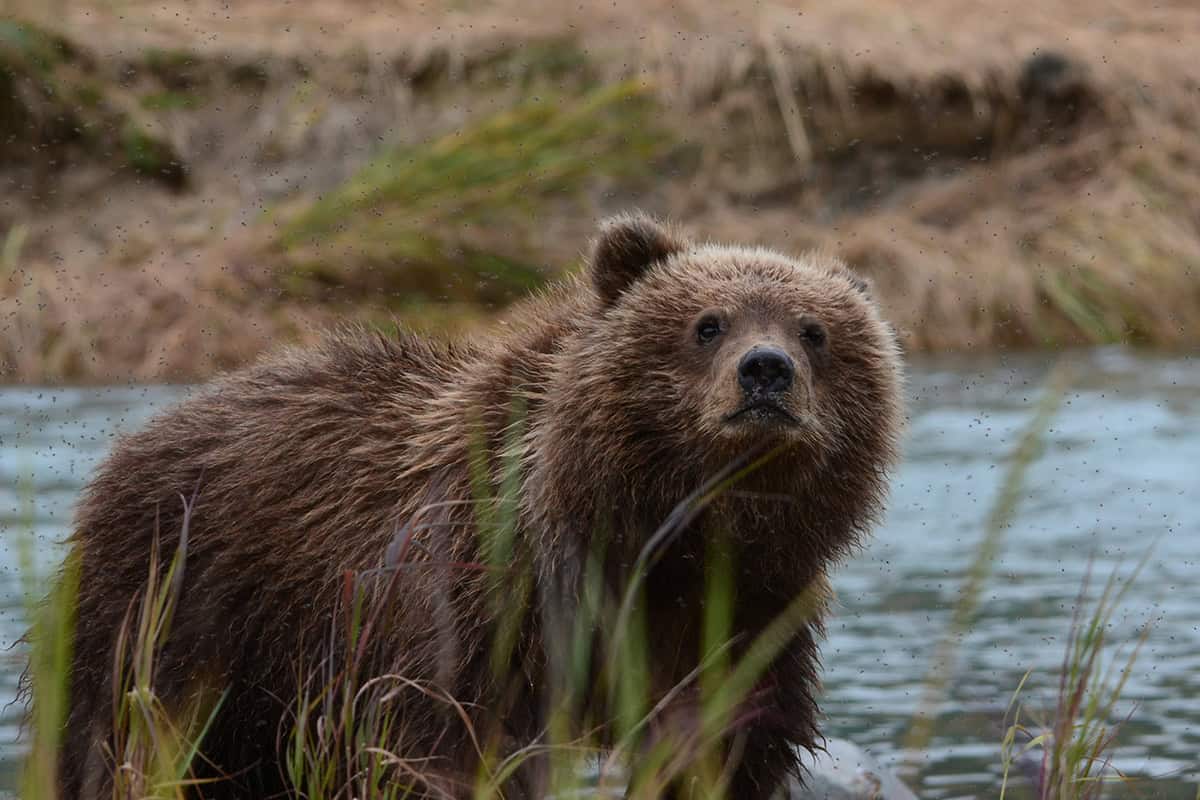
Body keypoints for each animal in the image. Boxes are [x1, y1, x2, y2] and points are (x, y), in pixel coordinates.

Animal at [54, 213, 904, 799]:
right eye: (708, 323)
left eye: (814, 331)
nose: (766, 371)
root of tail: (140, 435)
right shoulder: (478, 595)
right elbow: (452, 741)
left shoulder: (741, 609)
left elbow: (722, 744)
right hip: (181, 606)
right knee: (128, 742)